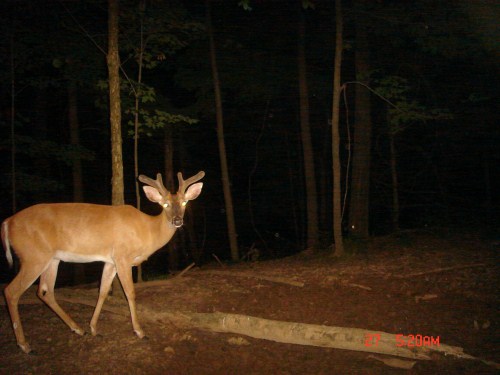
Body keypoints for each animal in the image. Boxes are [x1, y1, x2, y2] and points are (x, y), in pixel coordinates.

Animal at [1, 172, 205, 354]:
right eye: (165, 204)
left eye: (184, 202)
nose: (177, 221)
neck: (147, 230)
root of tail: (7, 222)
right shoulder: (123, 256)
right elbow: (130, 293)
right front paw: (139, 331)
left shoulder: (111, 261)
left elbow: (103, 291)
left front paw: (93, 328)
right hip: (33, 256)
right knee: (11, 291)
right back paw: (25, 345)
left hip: (51, 259)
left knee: (45, 291)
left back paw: (78, 329)